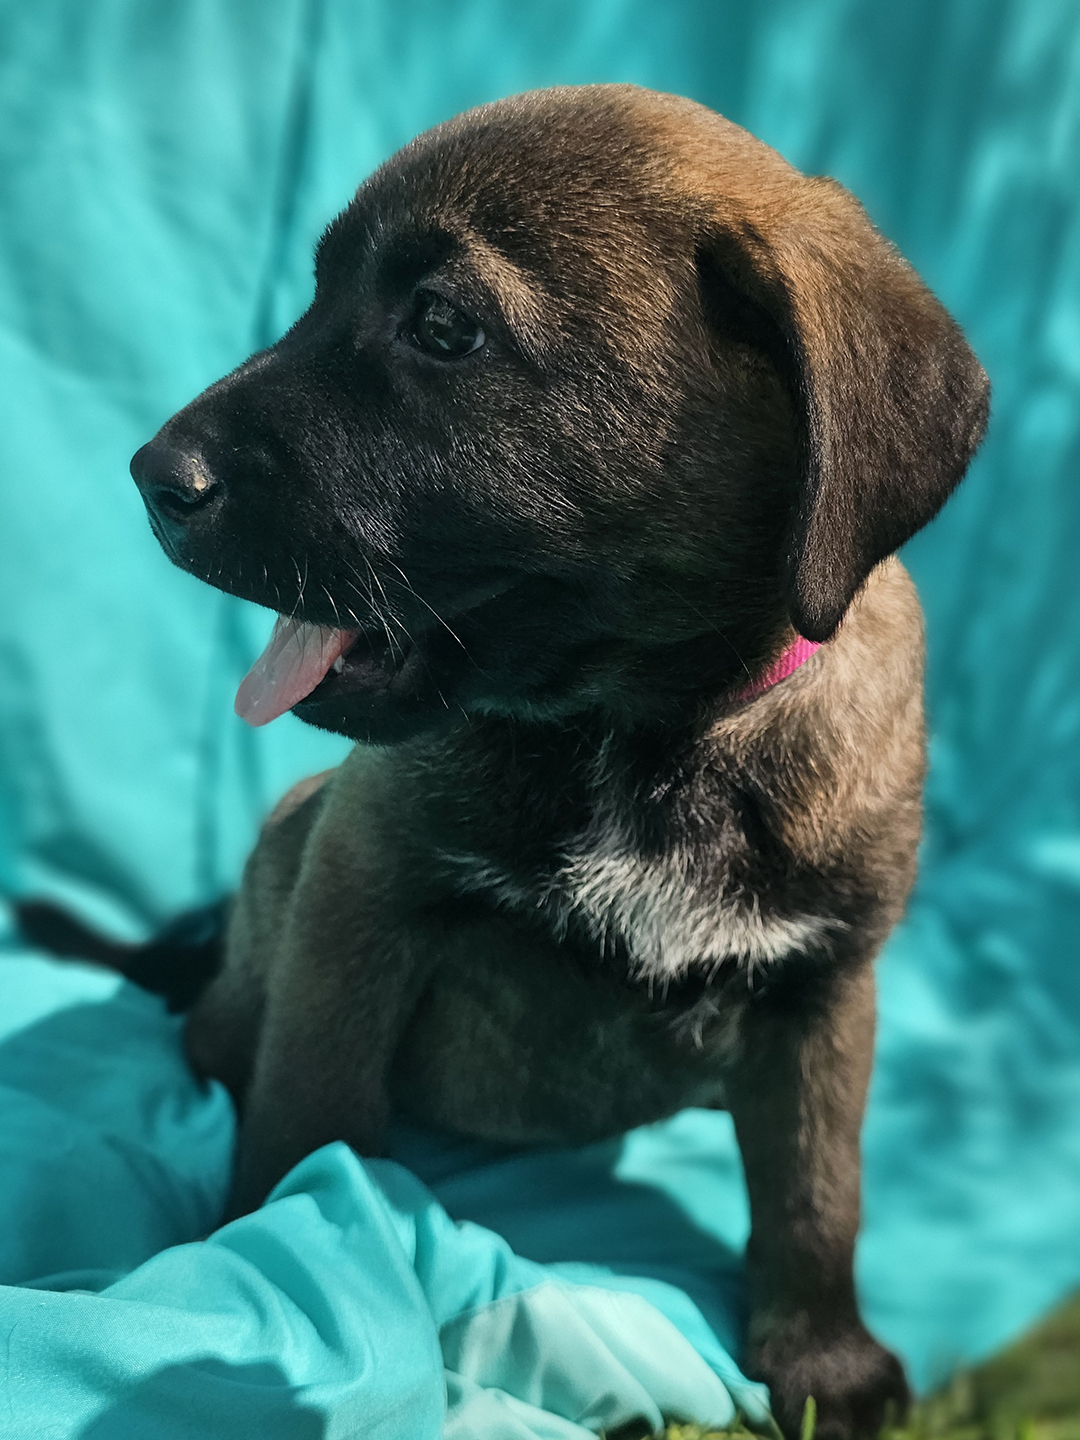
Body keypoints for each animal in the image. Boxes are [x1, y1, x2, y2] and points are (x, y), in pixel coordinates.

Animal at [44, 86, 991, 1439]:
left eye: (446, 327)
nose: (150, 474)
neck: (644, 736)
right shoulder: (360, 896)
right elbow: (309, 1114)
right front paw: (264, 1257)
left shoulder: (824, 988)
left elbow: (818, 1188)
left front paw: (825, 1361)